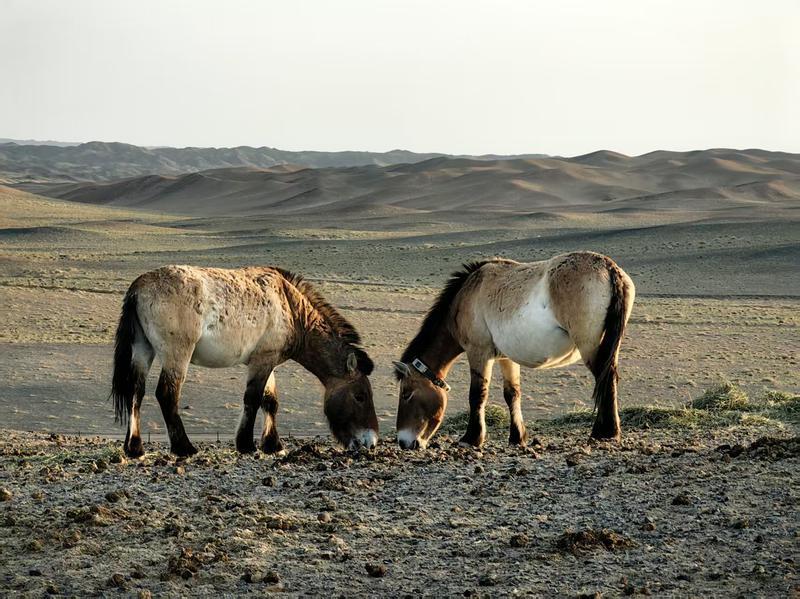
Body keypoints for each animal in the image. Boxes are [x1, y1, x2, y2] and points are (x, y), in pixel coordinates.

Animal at [110, 265, 378, 457]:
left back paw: (135, 448)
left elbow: (270, 401)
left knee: (136, 392)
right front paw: (247, 444)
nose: (371, 442)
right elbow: (253, 399)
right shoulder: (263, 361)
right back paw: (184, 448)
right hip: (177, 355)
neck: (291, 307)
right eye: (360, 396)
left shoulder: (266, 360)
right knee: (167, 395)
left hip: (143, 350)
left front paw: (273, 445)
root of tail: (138, 289)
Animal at [393, 251, 635, 449]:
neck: (468, 294)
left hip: (590, 346)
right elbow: (512, 394)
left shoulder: (478, 353)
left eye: (406, 393)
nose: (404, 442)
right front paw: (517, 437)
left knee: (605, 379)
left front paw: (471, 438)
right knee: (609, 379)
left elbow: (477, 395)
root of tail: (609, 268)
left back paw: (605, 432)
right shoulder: (506, 358)